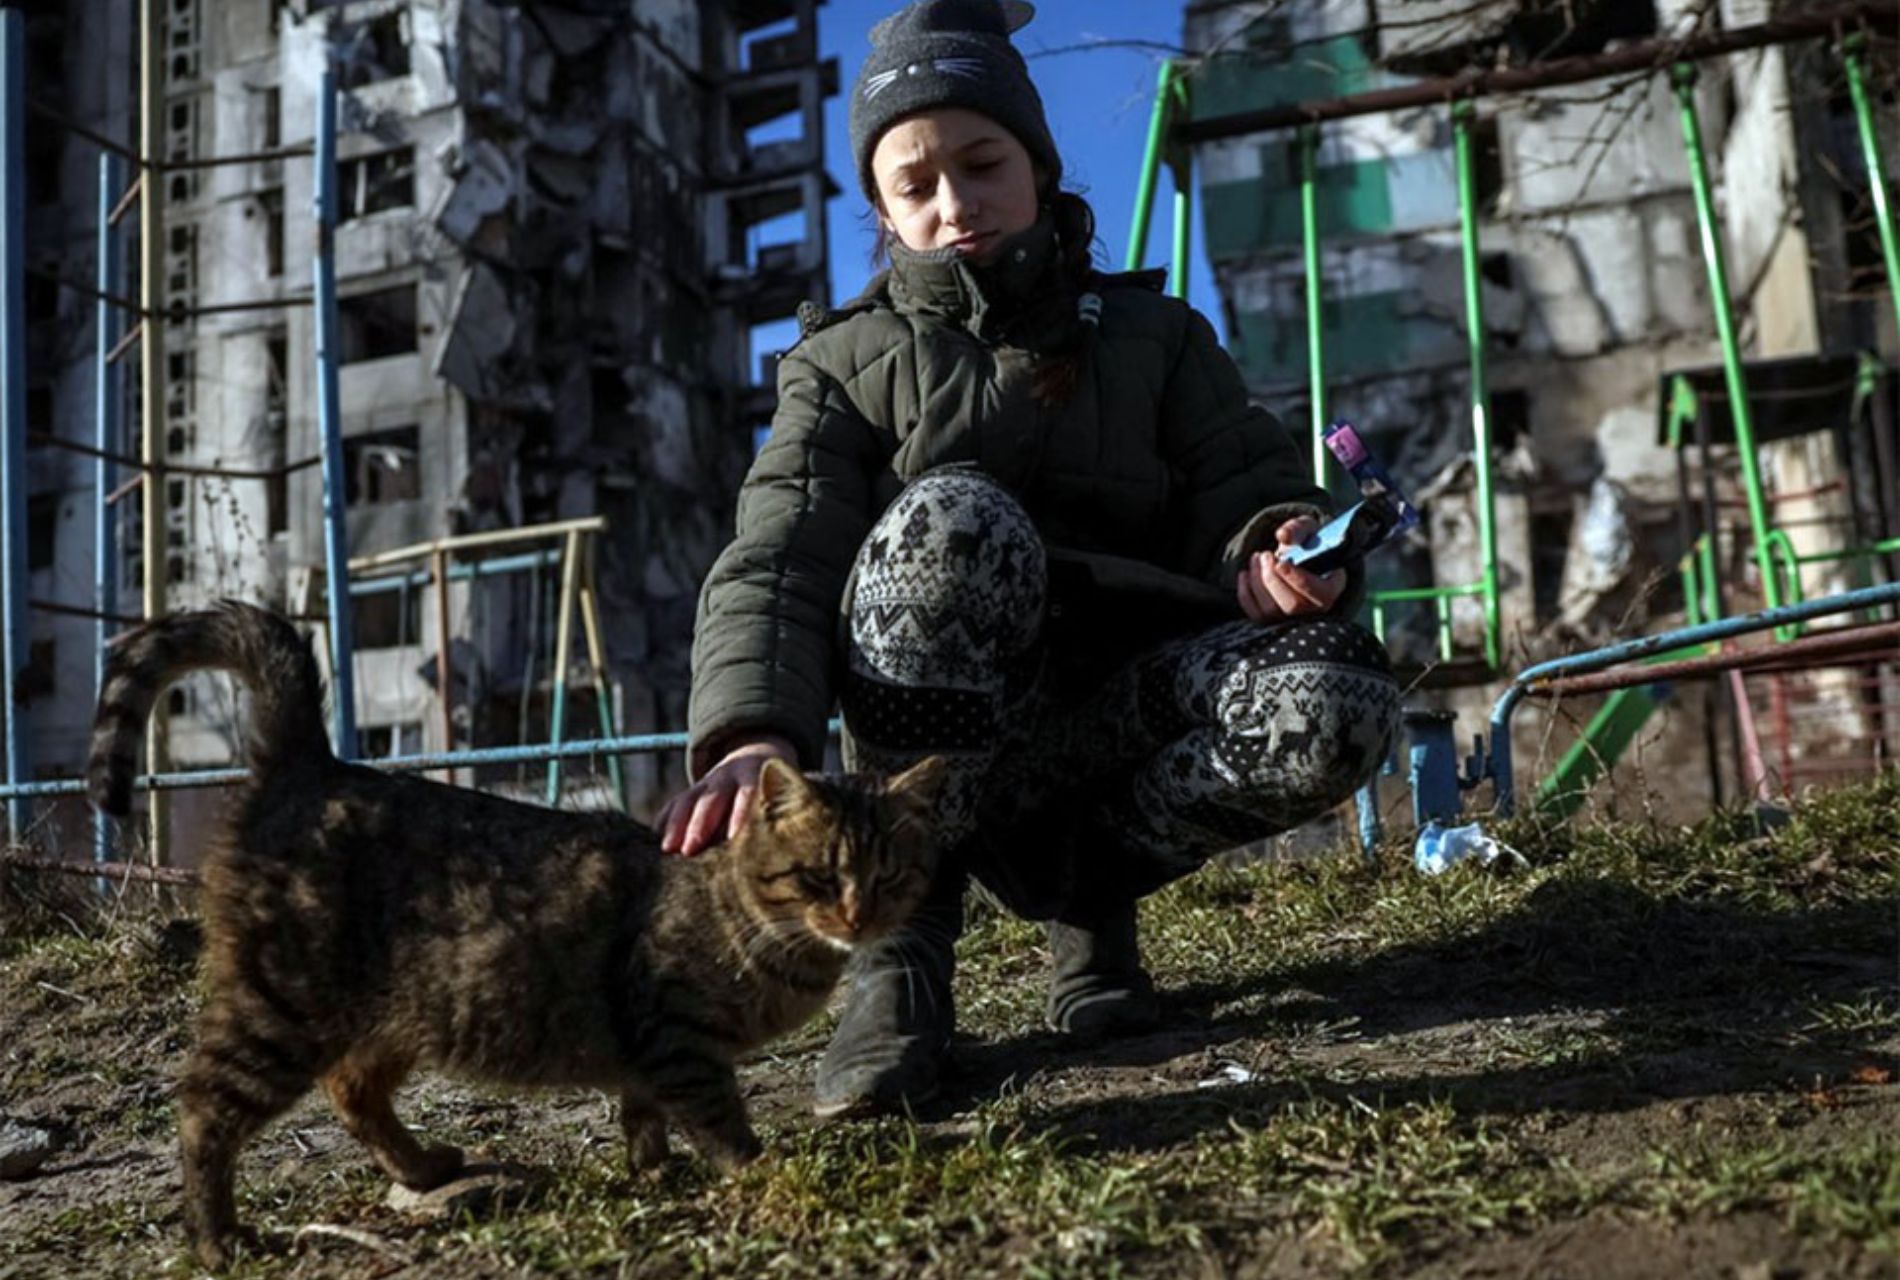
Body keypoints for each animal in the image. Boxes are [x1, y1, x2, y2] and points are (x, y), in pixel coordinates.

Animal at [85, 600, 946, 1268]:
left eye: (889, 878)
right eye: (820, 877)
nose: (859, 917)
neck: (758, 930)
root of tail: (314, 760)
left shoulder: (645, 1053)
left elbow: (643, 1117)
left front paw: (653, 1172)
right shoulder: (674, 1035)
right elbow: (718, 1118)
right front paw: (755, 1169)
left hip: (390, 1013)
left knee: (351, 1089)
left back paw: (423, 1165)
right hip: (280, 1009)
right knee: (204, 1109)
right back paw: (217, 1239)